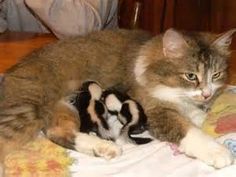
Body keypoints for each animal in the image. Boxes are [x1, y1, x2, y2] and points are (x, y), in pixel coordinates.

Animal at [0, 28, 236, 175]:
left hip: (64, 107)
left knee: (58, 132)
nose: (206, 94)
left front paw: (204, 113)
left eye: (216, 75)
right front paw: (218, 152)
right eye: (190, 76)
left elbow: (197, 115)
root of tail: (14, 69)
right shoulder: (155, 110)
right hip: (26, 109)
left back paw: (104, 148)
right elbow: (189, 131)